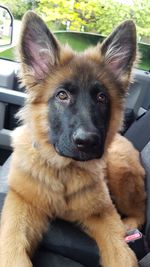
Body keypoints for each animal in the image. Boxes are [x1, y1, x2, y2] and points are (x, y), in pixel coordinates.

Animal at [0, 11, 145, 267]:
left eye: (101, 98)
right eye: (62, 95)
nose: (87, 142)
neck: (63, 170)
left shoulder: (103, 212)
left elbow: (121, 253)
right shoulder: (21, 202)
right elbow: (12, 249)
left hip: (121, 172)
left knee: (141, 210)